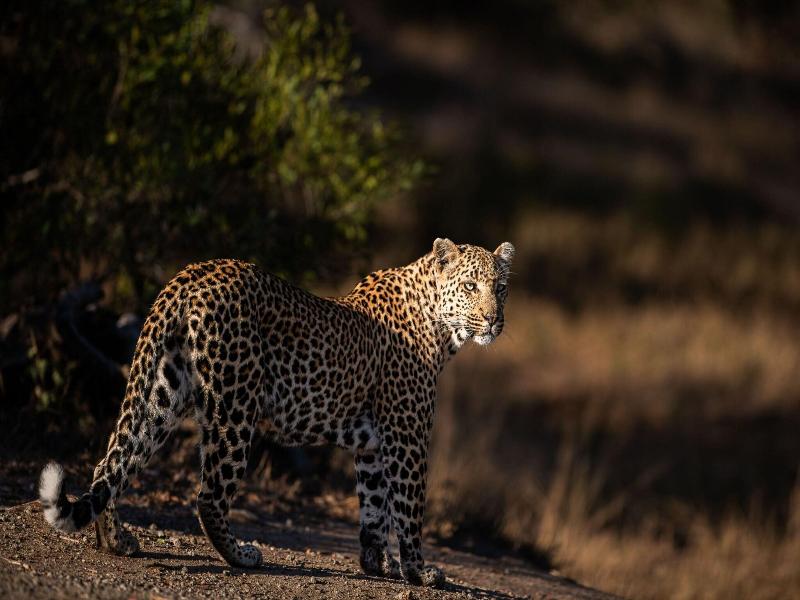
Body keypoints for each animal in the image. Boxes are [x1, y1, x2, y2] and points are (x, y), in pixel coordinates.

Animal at [38, 238, 515, 587]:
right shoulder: (407, 437)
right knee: (209, 496)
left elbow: (374, 508)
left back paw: (115, 540)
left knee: (111, 463)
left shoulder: (373, 445)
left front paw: (377, 564)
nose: (494, 321)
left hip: (161, 393)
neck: (443, 328)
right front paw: (419, 571)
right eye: (471, 287)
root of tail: (192, 274)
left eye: (501, 288)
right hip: (234, 406)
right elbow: (409, 509)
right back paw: (242, 555)